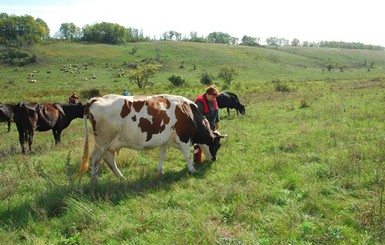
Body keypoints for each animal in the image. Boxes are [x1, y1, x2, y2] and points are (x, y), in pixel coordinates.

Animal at [80, 94, 226, 183]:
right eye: (218, 145)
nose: (215, 159)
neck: (189, 112)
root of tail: (96, 99)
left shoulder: (165, 140)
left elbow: (162, 155)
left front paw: (160, 171)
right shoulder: (184, 138)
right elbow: (188, 155)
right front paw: (192, 170)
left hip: (110, 144)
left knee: (109, 160)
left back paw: (122, 178)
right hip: (102, 141)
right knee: (94, 160)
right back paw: (95, 183)